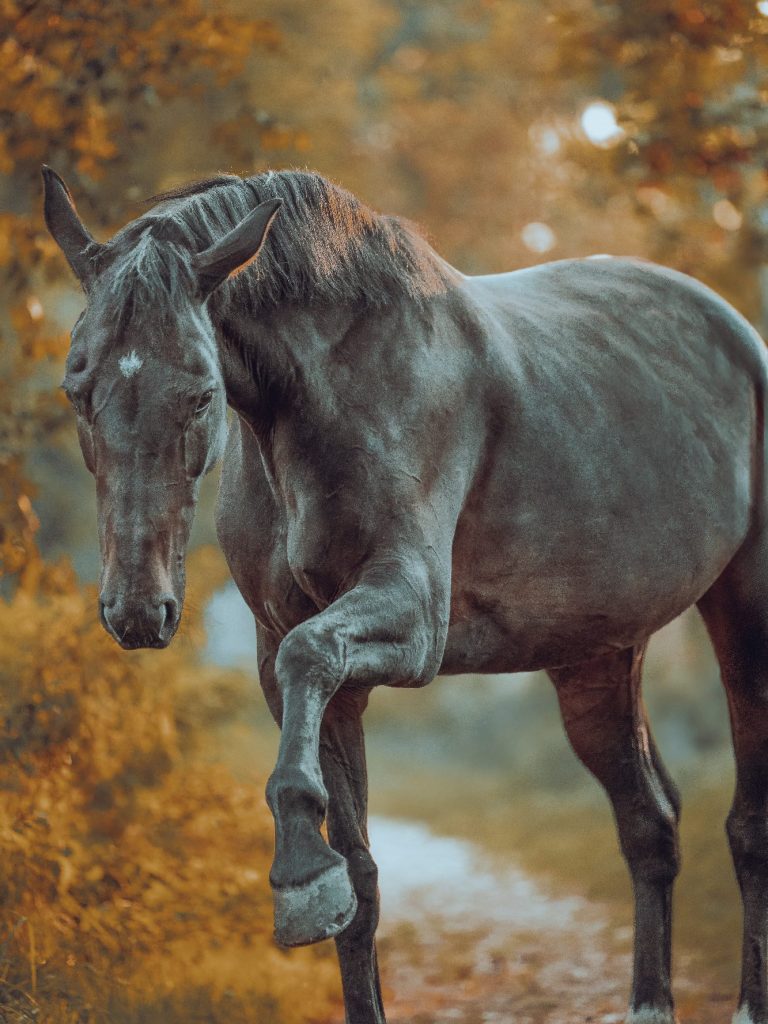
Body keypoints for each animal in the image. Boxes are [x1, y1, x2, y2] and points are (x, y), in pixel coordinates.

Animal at [42, 163, 768, 1024]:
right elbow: (357, 881)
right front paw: (318, 882)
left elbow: (309, 658)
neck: (330, 393)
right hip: (597, 659)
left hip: (747, 616)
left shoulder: (408, 620)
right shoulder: (297, 660)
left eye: (199, 393)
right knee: (648, 824)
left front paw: (298, 874)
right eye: (77, 388)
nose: (136, 610)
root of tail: (736, 333)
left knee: (749, 823)